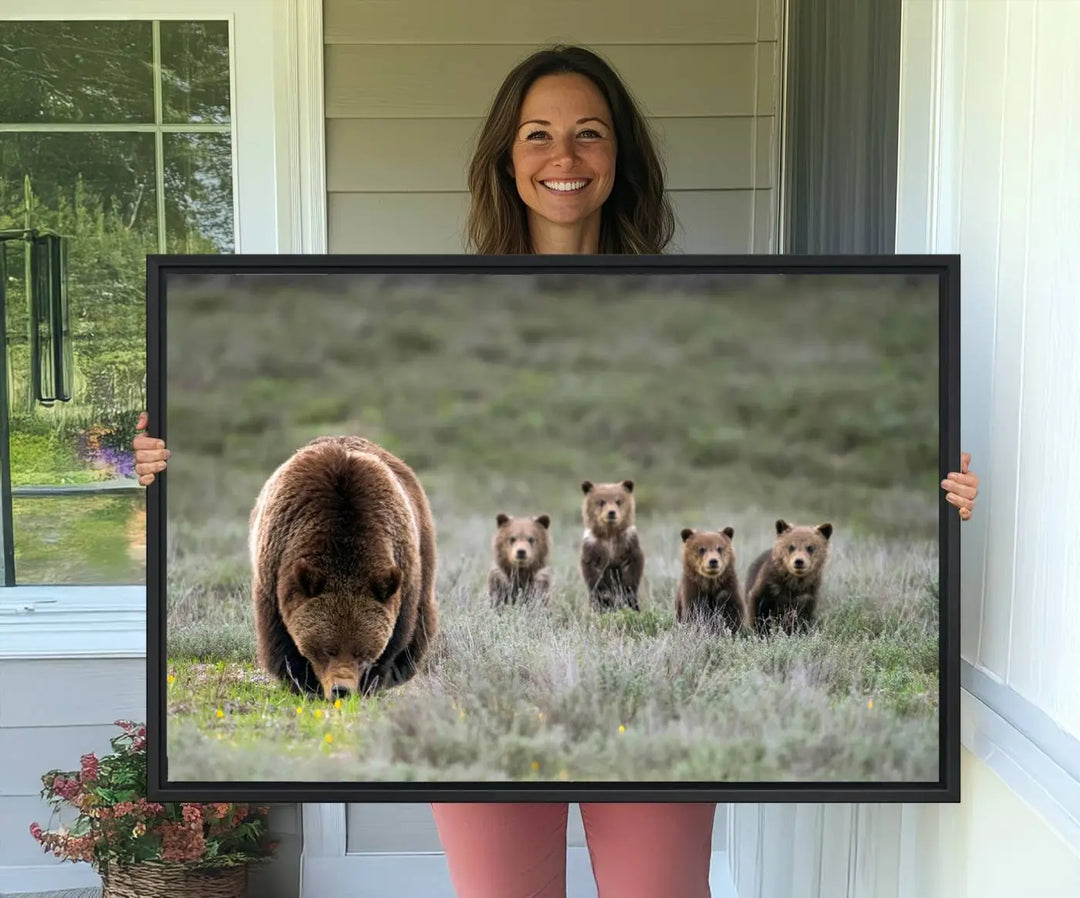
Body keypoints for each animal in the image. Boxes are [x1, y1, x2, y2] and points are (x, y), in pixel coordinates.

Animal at [248, 436, 438, 700]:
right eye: (327, 649)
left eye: (362, 652)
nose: (342, 690)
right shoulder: (275, 569)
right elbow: (280, 639)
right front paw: (303, 683)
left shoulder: (403, 573)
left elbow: (396, 638)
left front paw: (372, 683)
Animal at [583, 481, 639, 613]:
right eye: (601, 501)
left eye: (618, 501)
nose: (611, 512)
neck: (610, 535)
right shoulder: (592, 546)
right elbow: (592, 572)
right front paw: (605, 595)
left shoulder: (628, 542)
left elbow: (632, 568)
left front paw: (625, 592)